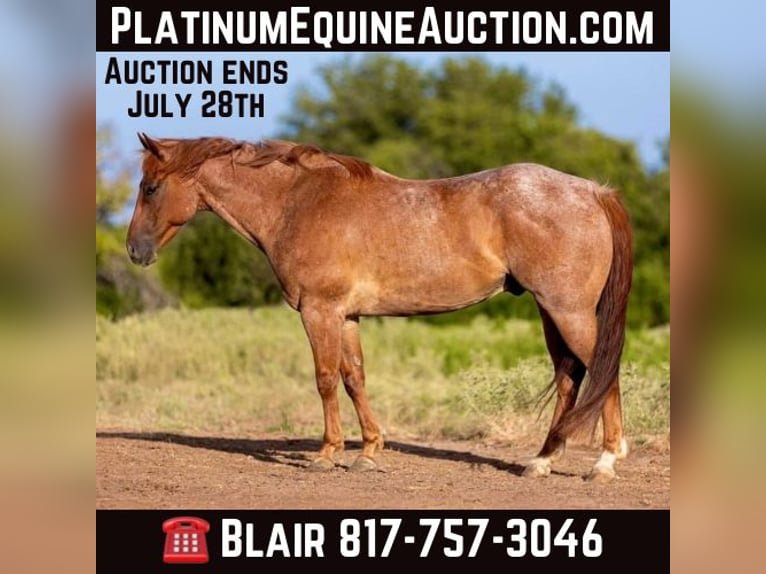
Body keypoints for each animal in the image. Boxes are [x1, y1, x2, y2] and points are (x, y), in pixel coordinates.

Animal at [127, 133, 633, 482]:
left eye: (150, 187)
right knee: (570, 378)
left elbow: (325, 380)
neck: (299, 201)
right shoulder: (347, 316)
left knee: (604, 372)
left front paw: (326, 454)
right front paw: (369, 452)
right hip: (552, 313)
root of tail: (594, 191)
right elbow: (355, 378)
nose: (134, 249)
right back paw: (542, 461)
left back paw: (605, 462)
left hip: (568, 311)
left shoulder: (319, 312)